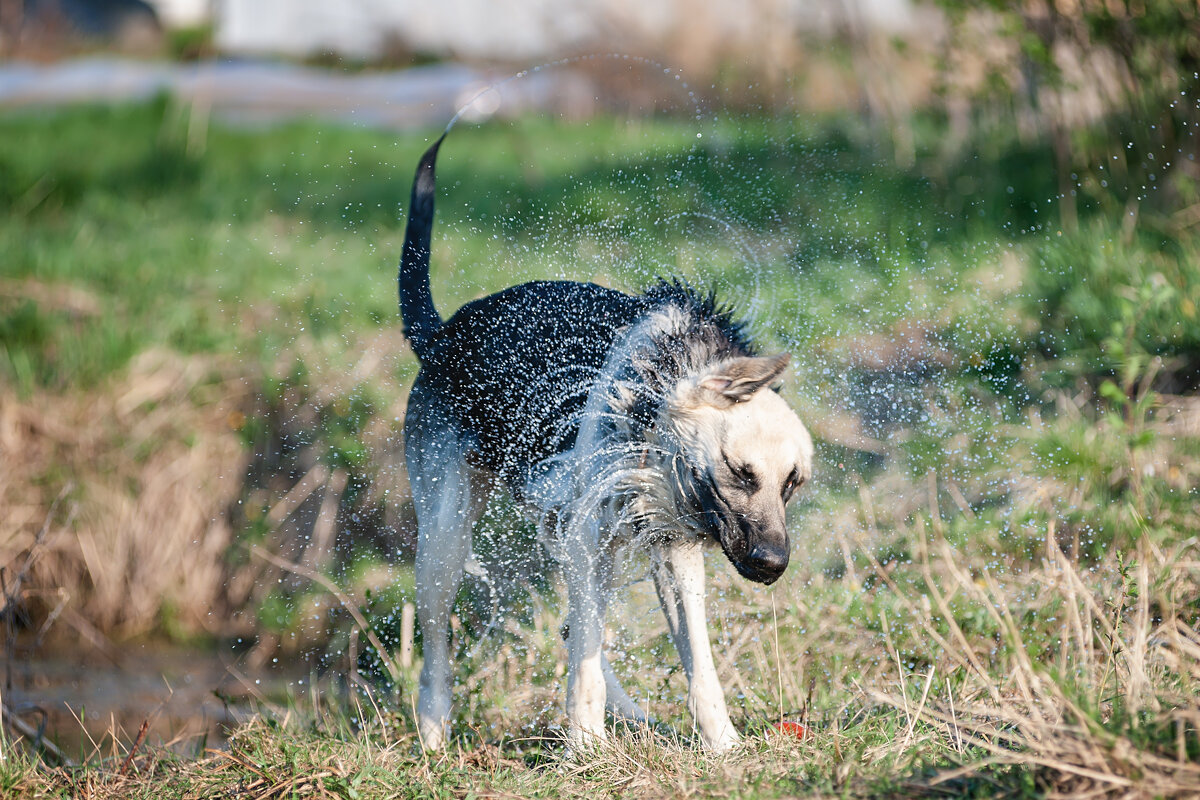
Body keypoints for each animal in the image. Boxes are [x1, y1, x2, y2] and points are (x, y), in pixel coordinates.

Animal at [403, 133, 816, 753]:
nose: (772, 565)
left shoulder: (671, 551)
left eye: (791, 485)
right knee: (438, 653)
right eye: (740, 472)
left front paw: (722, 745)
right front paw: (585, 746)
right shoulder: (588, 539)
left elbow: (698, 664)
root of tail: (441, 334)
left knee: (572, 626)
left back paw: (635, 718)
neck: (649, 397)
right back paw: (434, 737)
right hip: (445, 543)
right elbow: (587, 662)